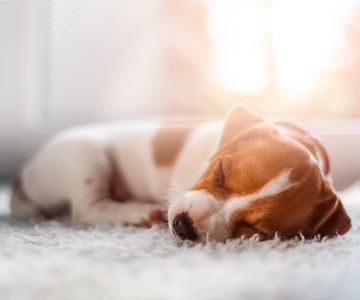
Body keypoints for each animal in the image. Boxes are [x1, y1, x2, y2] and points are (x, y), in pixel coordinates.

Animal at [11, 105, 352, 241]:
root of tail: (22, 180)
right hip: (86, 155)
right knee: (87, 209)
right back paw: (139, 212)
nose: (182, 226)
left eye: (253, 228)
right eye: (221, 173)